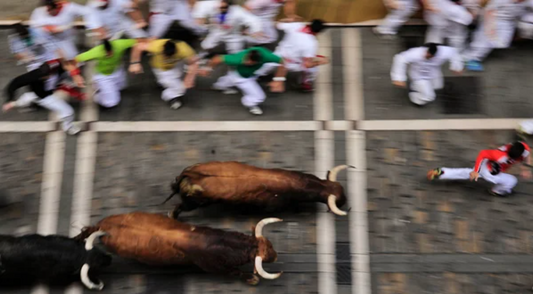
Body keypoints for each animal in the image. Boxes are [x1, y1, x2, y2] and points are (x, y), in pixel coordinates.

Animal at [76, 211, 282, 284]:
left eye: (271, 244)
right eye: (268, 252)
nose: (276, 256)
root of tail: (100, 227)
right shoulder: (215, 267)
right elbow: (234, 272)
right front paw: (251, 279)